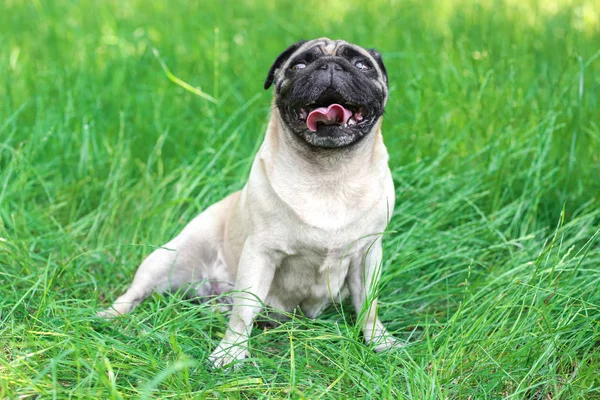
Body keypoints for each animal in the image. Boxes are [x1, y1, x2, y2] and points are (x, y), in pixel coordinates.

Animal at [98, 38, 398, 368]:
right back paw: (109, 316)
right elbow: (245, 309)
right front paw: (231, 350)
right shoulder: (260, 253)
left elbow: (368, 305)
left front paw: (379, 341)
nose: (330, 65)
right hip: (166, 259)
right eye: (299, 65)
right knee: (136, 292)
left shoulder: (367, 254)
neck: (329, 174)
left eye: (361, 65)